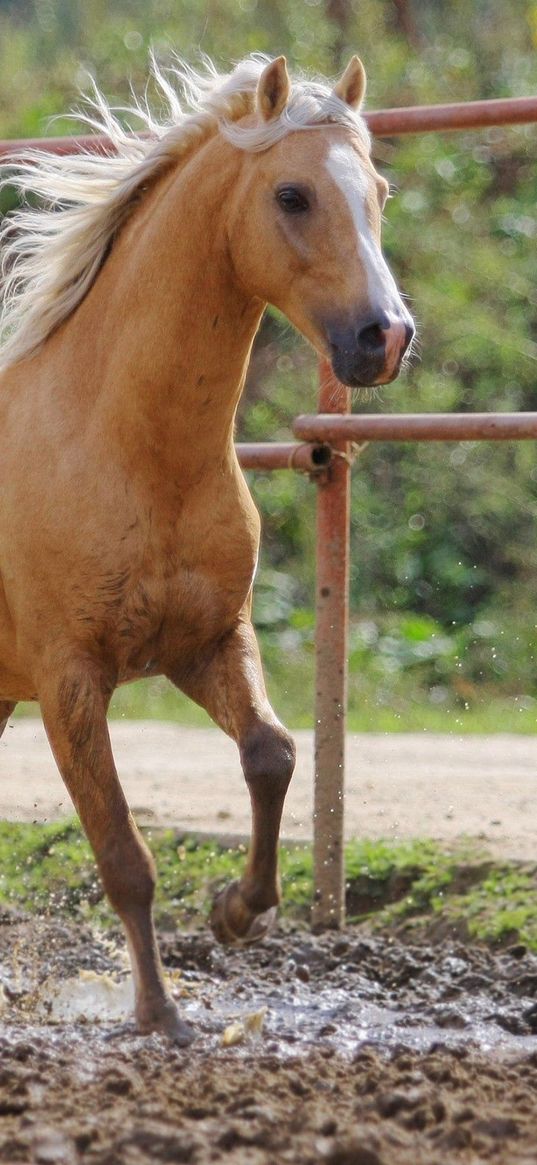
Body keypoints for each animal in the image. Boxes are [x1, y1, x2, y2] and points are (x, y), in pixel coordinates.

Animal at [0, 54, 412, 1043]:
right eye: (292, 194)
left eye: (378, 191)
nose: (384, 336)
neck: (127, 447)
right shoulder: (70, 680)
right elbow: (124, 854)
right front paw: (160, 1013)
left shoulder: (208, 642)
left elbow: (274, 752)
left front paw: (236, 911)